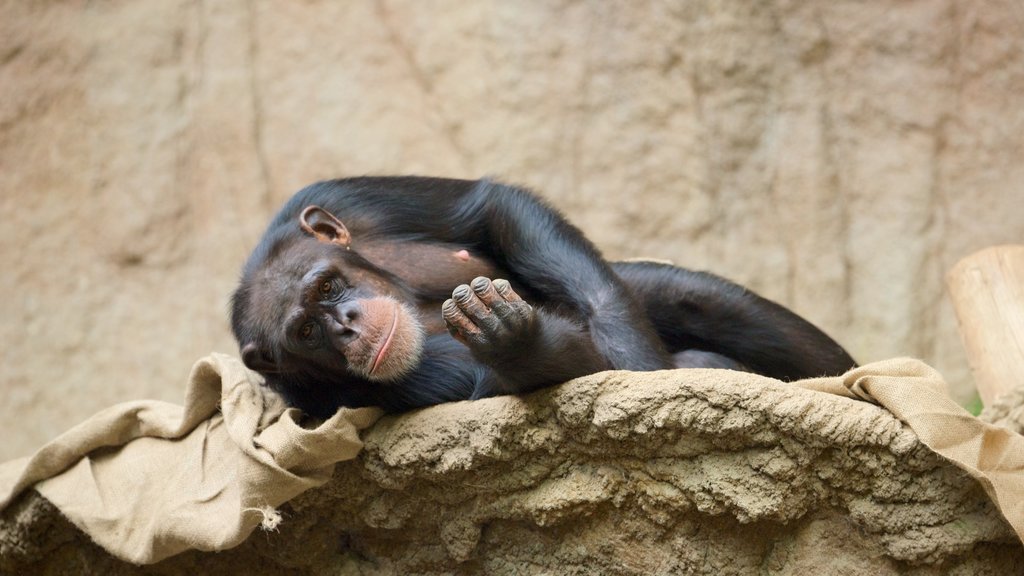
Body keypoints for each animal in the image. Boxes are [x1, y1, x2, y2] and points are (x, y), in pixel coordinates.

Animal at [232, 176, 856, 416]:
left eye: (329, 286)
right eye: (306, 331)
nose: (347, 322)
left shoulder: (351, 199)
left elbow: (493, 208)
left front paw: (644, 375)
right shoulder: (317, 395)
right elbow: (484, 380)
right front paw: (518, 346)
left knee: (692, 296)